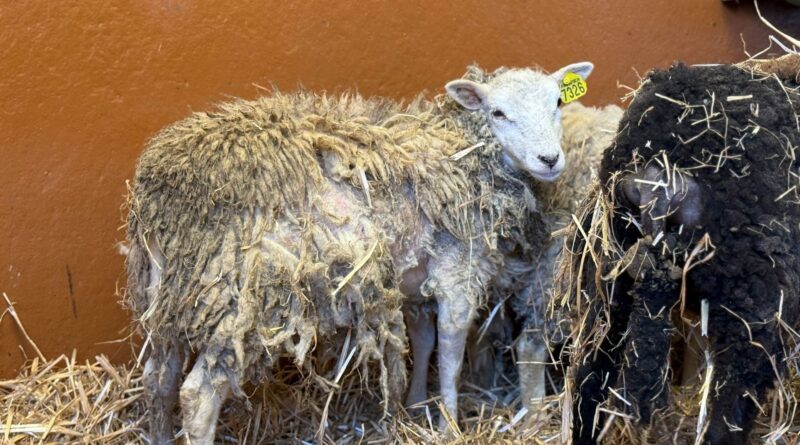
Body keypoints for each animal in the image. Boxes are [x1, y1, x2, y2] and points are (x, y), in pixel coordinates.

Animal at [125, 61, 594, 444]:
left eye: (557, 103)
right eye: (497, 113)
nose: (549, 159)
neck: (462, 146)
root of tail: (168, 189)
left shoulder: (413, 283)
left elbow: (421, 341)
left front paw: (414, 405)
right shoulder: (456, 273)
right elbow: (451, 352)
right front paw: (449, 424)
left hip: (170, 292)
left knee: (158, 378)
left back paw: (159, 436)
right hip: (240, 299)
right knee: (198, 395)